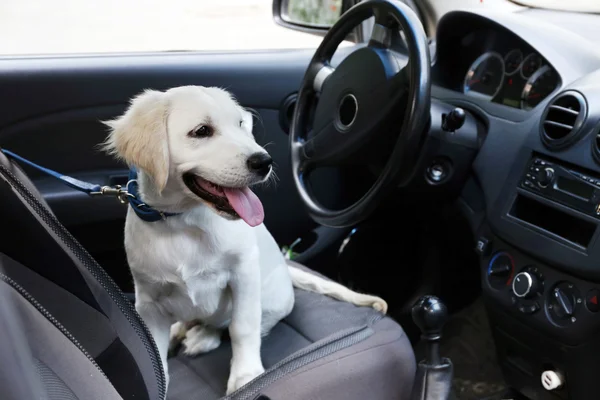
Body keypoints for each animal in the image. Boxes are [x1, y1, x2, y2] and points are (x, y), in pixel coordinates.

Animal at [102, 85, 386, 394]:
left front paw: (245, 375)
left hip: (272, 300)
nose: (265, 162)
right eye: (201, 131)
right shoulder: (148, 301)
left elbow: (242, 327)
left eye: (240, 124)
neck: (183, 223)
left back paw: (203, 336)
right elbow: (152, 351)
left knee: (233, 324)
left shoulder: (244, 272)